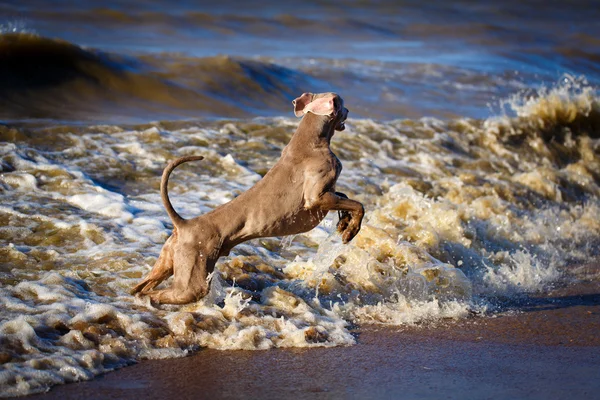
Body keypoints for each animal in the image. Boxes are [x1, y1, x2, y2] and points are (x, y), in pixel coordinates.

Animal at [131, 92, 364, 304]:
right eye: (341, 103)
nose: (349, 110)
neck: (311, 140)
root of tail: (183, 224)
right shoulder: (316, 198)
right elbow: (359, 205)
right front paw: (351, 230)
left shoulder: (328, 193)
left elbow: (345, 197)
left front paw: (344, 223)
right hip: (193, 280)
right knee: (155, 293)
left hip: (167, 261)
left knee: (141, 286)